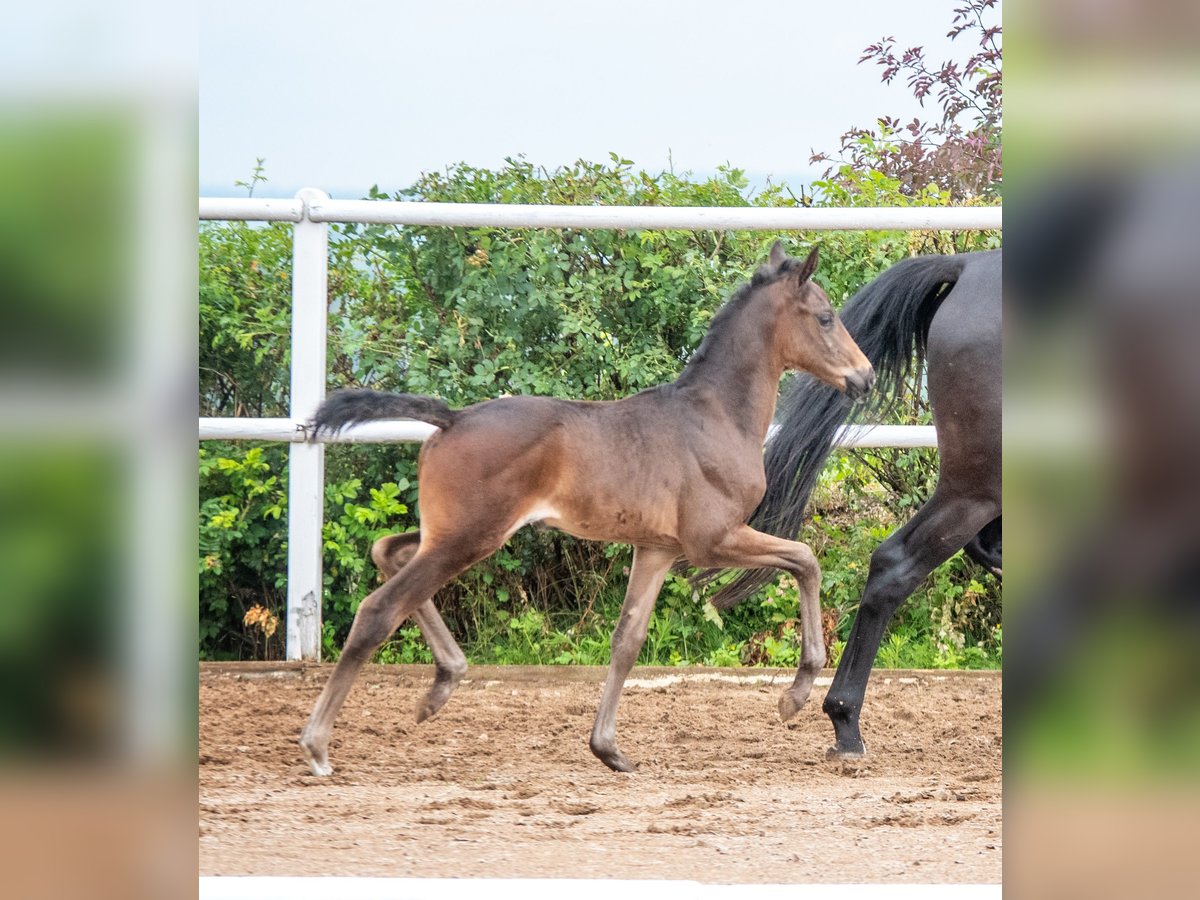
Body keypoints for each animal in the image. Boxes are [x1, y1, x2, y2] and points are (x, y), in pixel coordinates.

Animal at [297, 243, 873, 777]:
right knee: (380, 609)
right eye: (826, 316)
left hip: (452, 532)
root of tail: (452, 419)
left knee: (388, 550)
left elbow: (627, 640)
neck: (715, 416)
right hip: (471, 536)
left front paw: (608, 749)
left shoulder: (656, 548)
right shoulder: (713, 539)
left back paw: (443, 683)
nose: (865, 377)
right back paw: (318, 744)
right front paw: (794, 696)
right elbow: (805, 560)